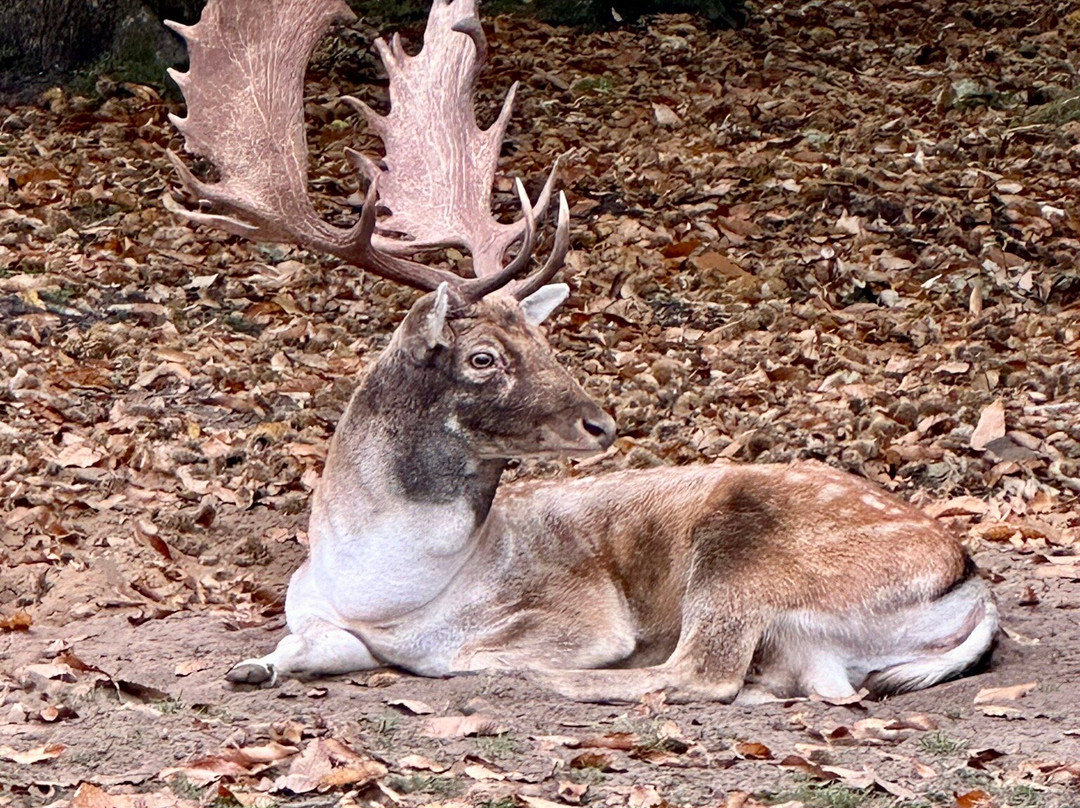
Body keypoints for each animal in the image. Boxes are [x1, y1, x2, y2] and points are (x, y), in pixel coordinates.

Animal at [164, 0, 998, 703]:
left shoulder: (580, 612)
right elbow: (308, 642)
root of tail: (971, 580)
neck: (377, 589)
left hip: (744, 554)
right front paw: (255, 665)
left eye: (541, 339)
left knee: (701, 672)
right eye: (484, 357)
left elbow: (464, 652)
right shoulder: (308, 604)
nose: (601, 423)